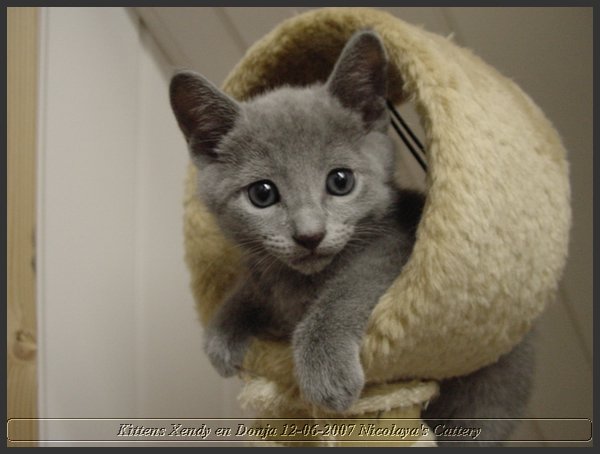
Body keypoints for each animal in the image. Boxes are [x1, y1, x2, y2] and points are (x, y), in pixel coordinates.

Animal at [170, 31, 536, 444]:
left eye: (340, 181)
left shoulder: (394, 250)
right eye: (262, 194)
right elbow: (254, 288)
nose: (309, 235)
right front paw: (222, 331)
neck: (302, 285)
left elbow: (346, 292)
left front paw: (325, 371)